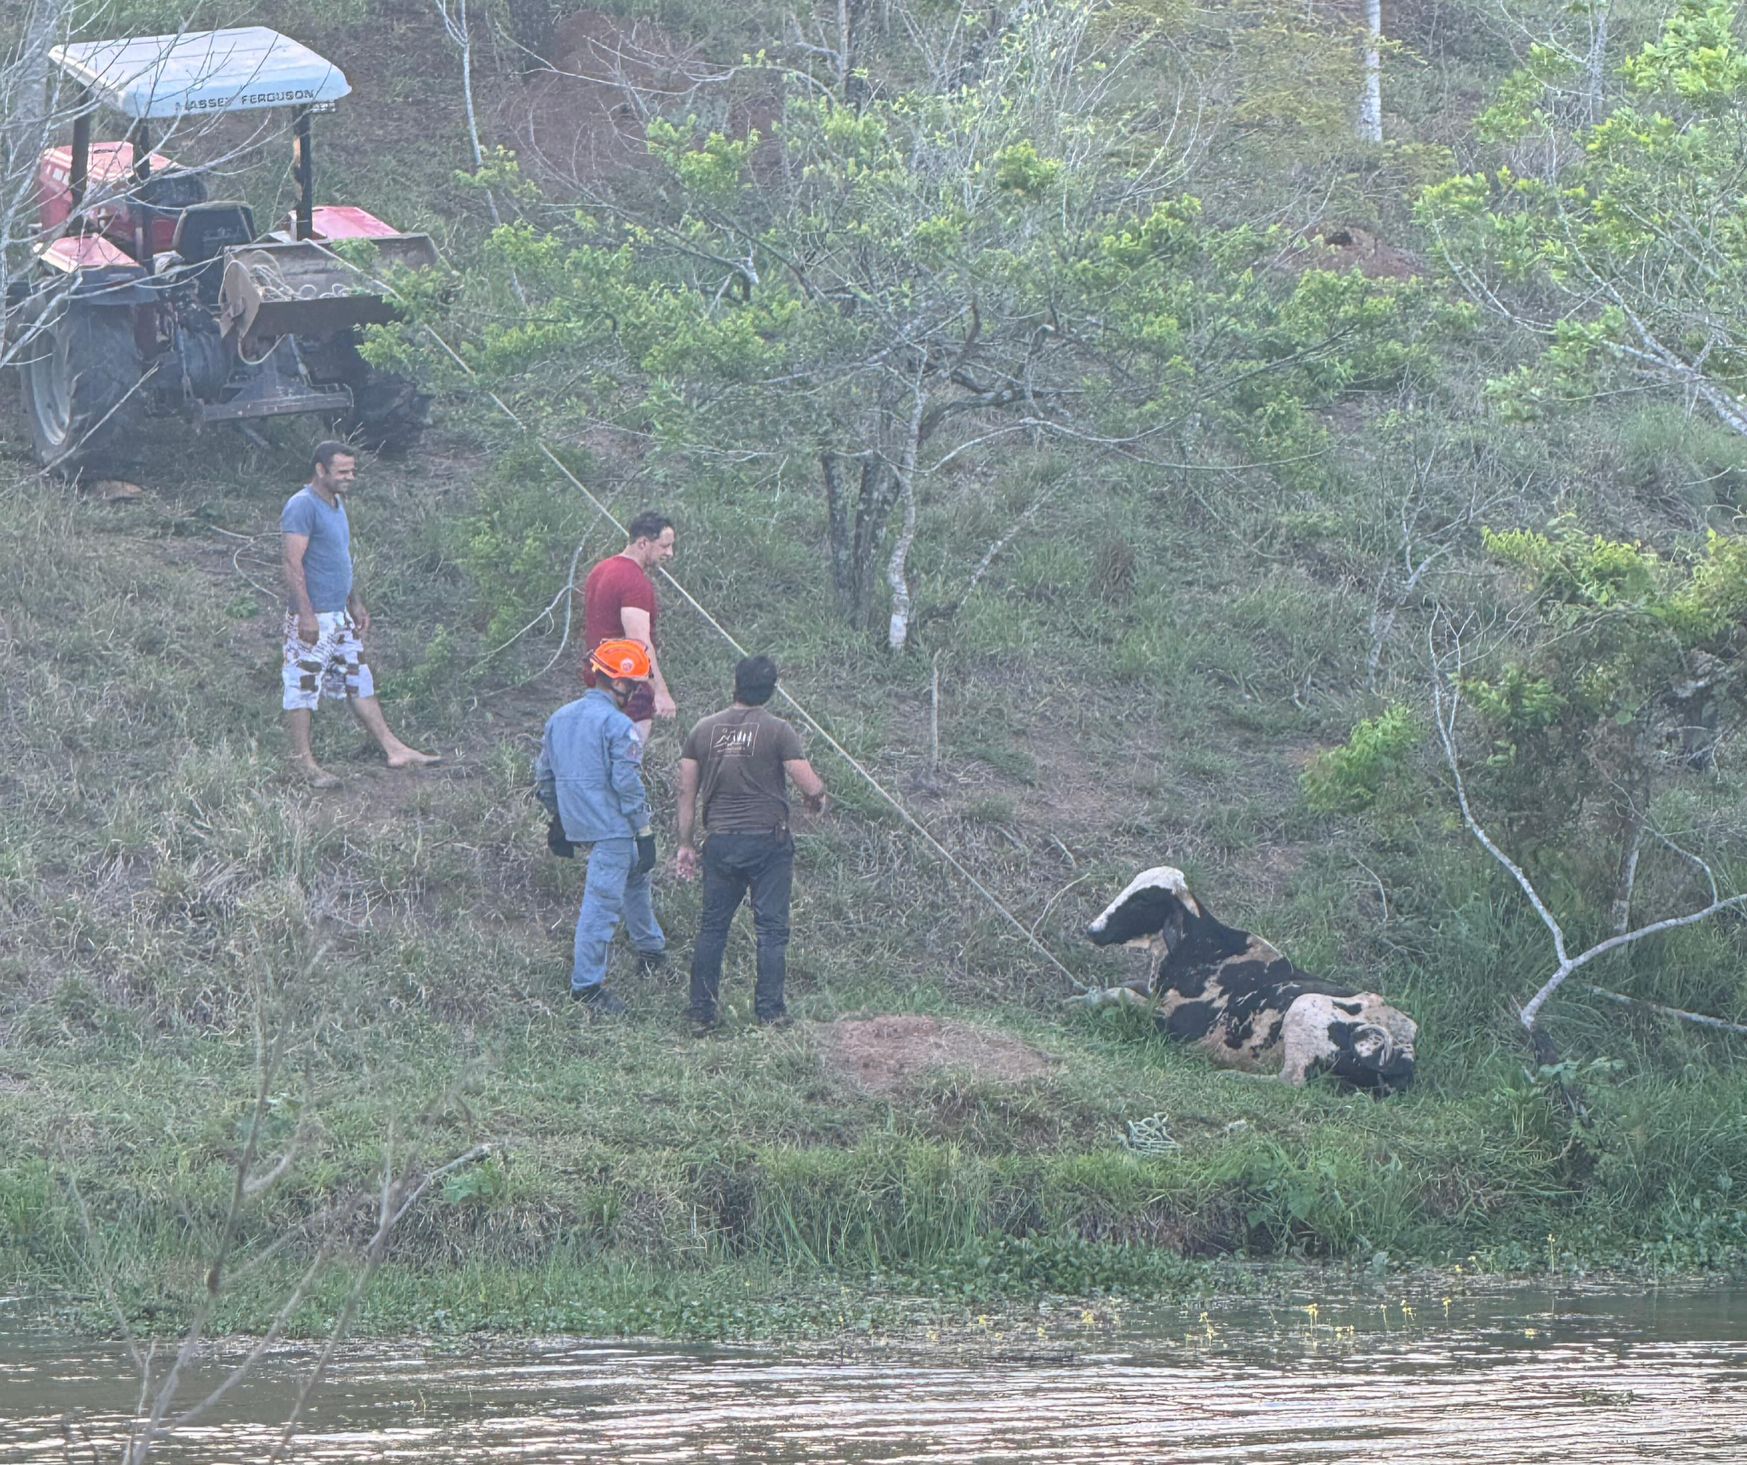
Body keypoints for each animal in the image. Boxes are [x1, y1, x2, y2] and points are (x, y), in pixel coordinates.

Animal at [1076, 866, 1418, 1096]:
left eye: (1143, 901)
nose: (1093, 930)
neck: (1202, 951)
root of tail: (1404, 1047)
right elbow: (1121, 988)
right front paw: (1079, 998)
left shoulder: (1179, 1027)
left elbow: (1121, 992)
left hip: (1305, 1010)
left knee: (1290, 1081)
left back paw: (1230, 1075)